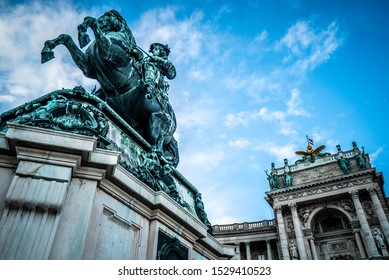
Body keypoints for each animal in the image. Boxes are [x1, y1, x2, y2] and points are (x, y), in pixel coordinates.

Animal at [40, 9, 180, 167]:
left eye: (109, 17)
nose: (155, 51)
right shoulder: (88, 66)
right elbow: (66, 37)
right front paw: (48, 48)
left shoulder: (109, 54)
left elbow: (95, 27)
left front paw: (86, 29)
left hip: (157, 120)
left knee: (159, 148)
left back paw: (154, 158)